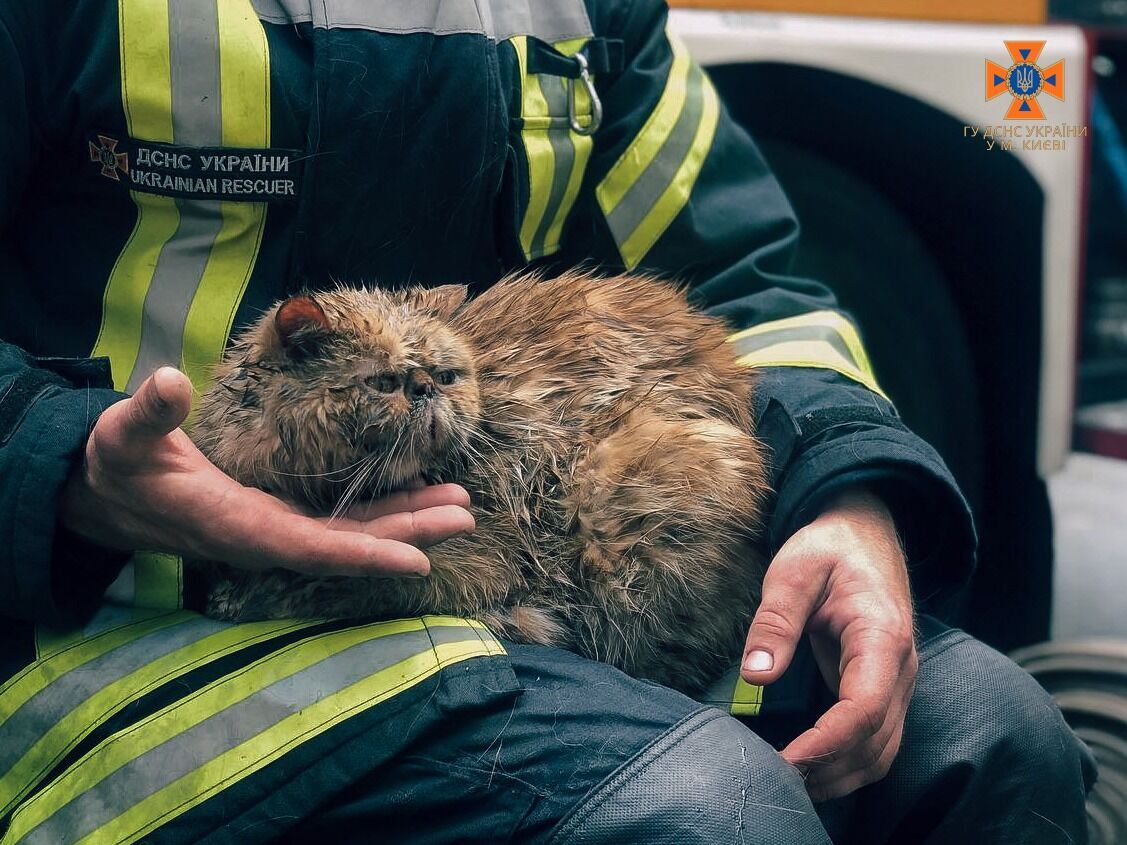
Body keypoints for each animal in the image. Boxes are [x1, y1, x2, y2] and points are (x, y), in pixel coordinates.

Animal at [193, 274, 770, 698]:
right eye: (382, 382)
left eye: (447, 375)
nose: (426, 388)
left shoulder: (473, 563)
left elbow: (337, 588)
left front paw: (247, 595)